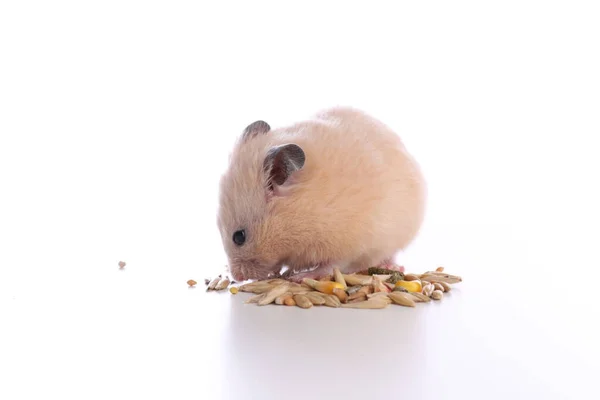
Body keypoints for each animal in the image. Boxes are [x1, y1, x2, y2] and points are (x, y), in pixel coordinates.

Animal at [218, 106, 424, 282]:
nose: (238, 277)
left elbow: (331, 265)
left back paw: (393, 267)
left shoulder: (347, 243)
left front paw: (300, 277)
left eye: (239, 237)